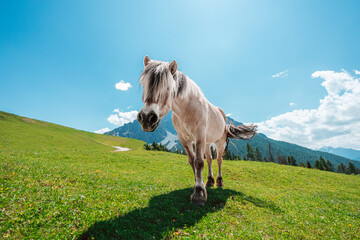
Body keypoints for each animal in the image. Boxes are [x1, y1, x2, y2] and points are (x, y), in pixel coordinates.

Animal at [136, 55, 258, 205]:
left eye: (168, 87)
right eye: (144, 85)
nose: (147, 118)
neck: (187, 110)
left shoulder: (199, 137)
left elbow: (199, 162)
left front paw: (199, 194)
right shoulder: (185, 140)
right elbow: (192, 161)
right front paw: (198, 184)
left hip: (219, 142)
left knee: (218, 160)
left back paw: (219, 182)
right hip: (207, 143)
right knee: (210, 160)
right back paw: (210, 181)